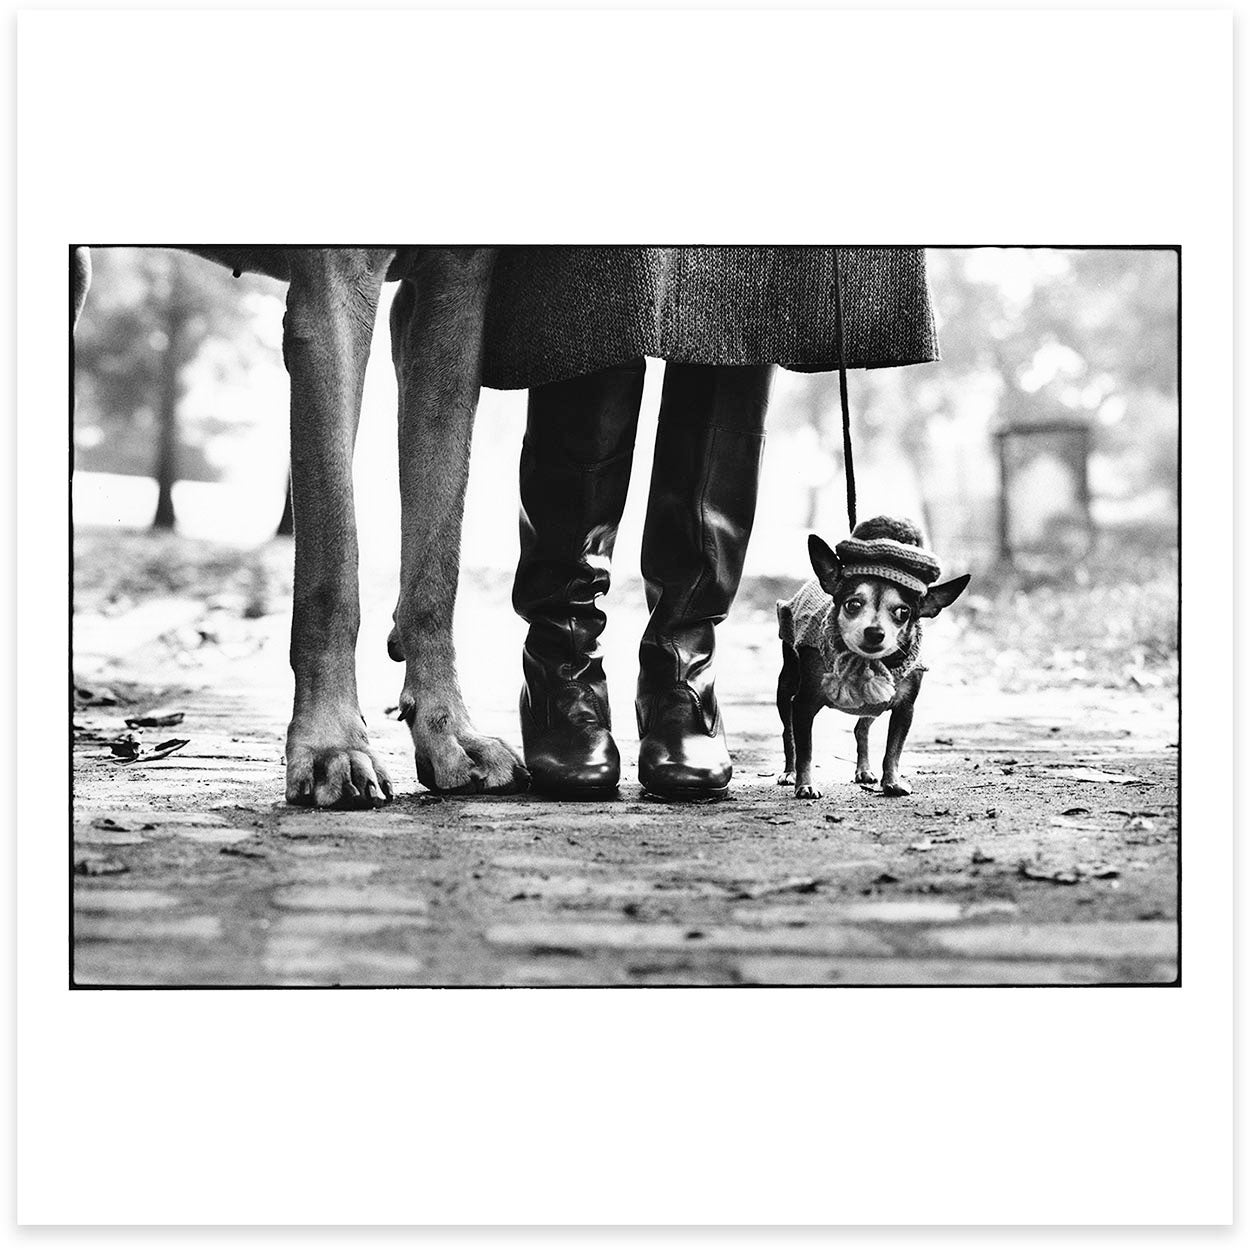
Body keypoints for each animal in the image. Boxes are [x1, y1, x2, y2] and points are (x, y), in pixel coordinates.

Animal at [775, 517, 970, 800]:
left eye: (903, 612)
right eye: (852, 605)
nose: (875, 632)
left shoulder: (904, 709)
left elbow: (893, 751)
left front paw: (892, 782)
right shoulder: (803, 704)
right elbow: (805, 750)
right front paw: (805, 784)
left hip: (873, 705)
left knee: (861, 729)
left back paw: (864, 770)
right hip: (786, 686)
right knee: (787, 732)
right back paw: (789, 773)